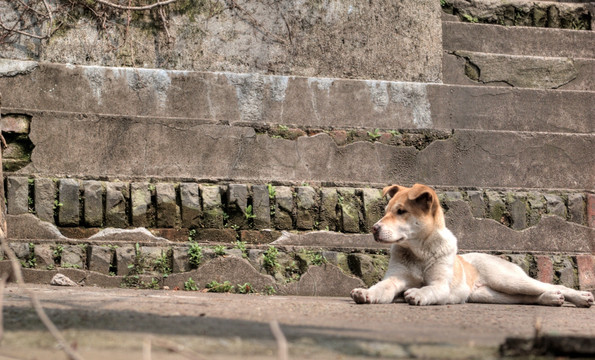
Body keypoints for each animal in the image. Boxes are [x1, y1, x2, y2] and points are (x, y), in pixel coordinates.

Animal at [352, 186, 592, 306]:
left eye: (401, 211)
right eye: (386, 211)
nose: (374, 228)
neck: (420, 251)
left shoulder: (441, 285)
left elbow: (429, 288)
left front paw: (418, 294)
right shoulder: (395, 278)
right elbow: (381, 287)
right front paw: (366, 293)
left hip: (508, 280)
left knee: (552, 286)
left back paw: (580, 298)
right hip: (492, 294)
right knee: (530, 297)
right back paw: (550, 299)